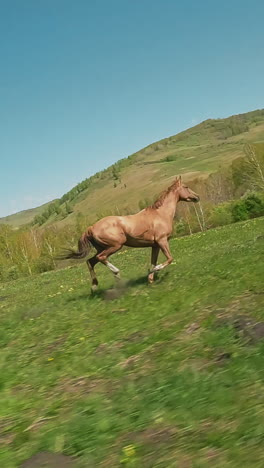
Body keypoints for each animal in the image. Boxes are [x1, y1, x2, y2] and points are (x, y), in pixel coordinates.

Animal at [62, 177, 198, 290]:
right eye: (186, 187)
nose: (197, 197)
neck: (161, 214)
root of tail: (90, 228)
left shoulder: (155, 245)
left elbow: (153, 262)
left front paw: (150, 279)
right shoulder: (162, 241)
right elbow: (169, 258)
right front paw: (156, 270)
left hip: (102, 247)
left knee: (90, 261)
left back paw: (94, 287)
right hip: (116, 245)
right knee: (101, 258)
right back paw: (116, 274)